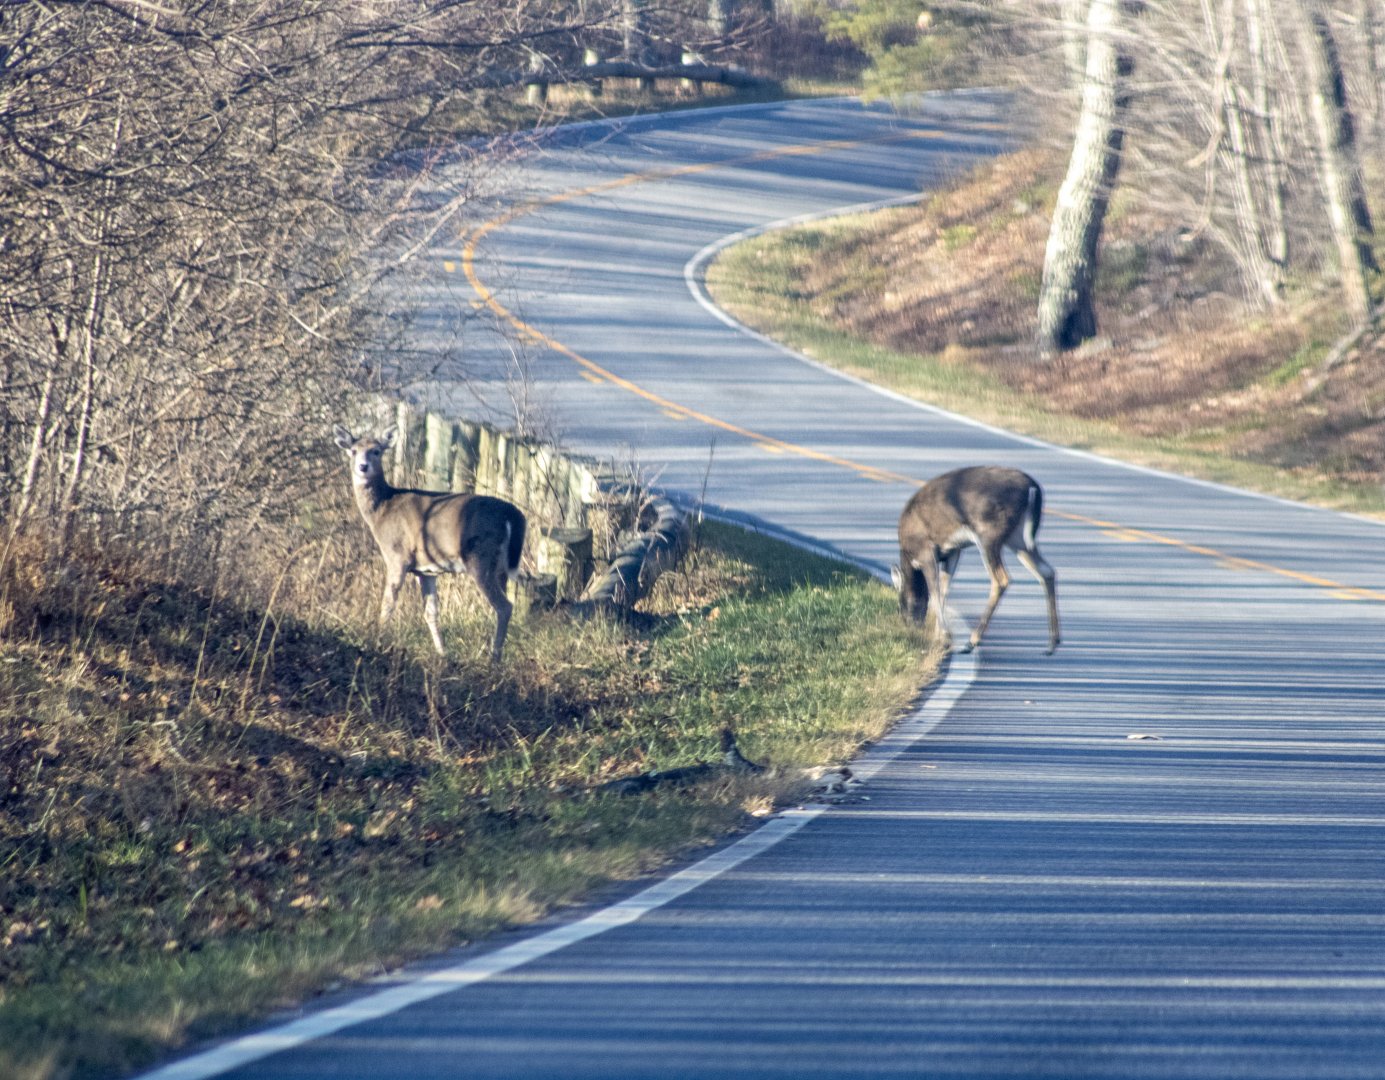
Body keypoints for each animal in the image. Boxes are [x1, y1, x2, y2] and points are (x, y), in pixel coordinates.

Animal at [333, 424, 527, 663]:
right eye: (353, 450)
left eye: (376, 451)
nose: (363, 466)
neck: (382, 511)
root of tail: (514, 515)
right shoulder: (426, 571)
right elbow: (431, 612)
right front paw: (442, 653)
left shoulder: (397, 556)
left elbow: (388, 603)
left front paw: (376, 642)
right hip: (499, 567)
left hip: (480, 557)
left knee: (504, 606)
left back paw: (494, 658)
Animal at [891, 466, 1060, 655]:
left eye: (900, 603)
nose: (910, 626)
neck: (908, 554)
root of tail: (1033, 488)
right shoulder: (953, 551)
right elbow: (944, 590)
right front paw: (938, 637)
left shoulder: (926, 550)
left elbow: (935, 592)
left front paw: (944, 638)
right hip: (1017, 538)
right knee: (1046, 571)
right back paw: (1052, 643)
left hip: (989, 533)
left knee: (1001, 579)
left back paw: (971, 642)